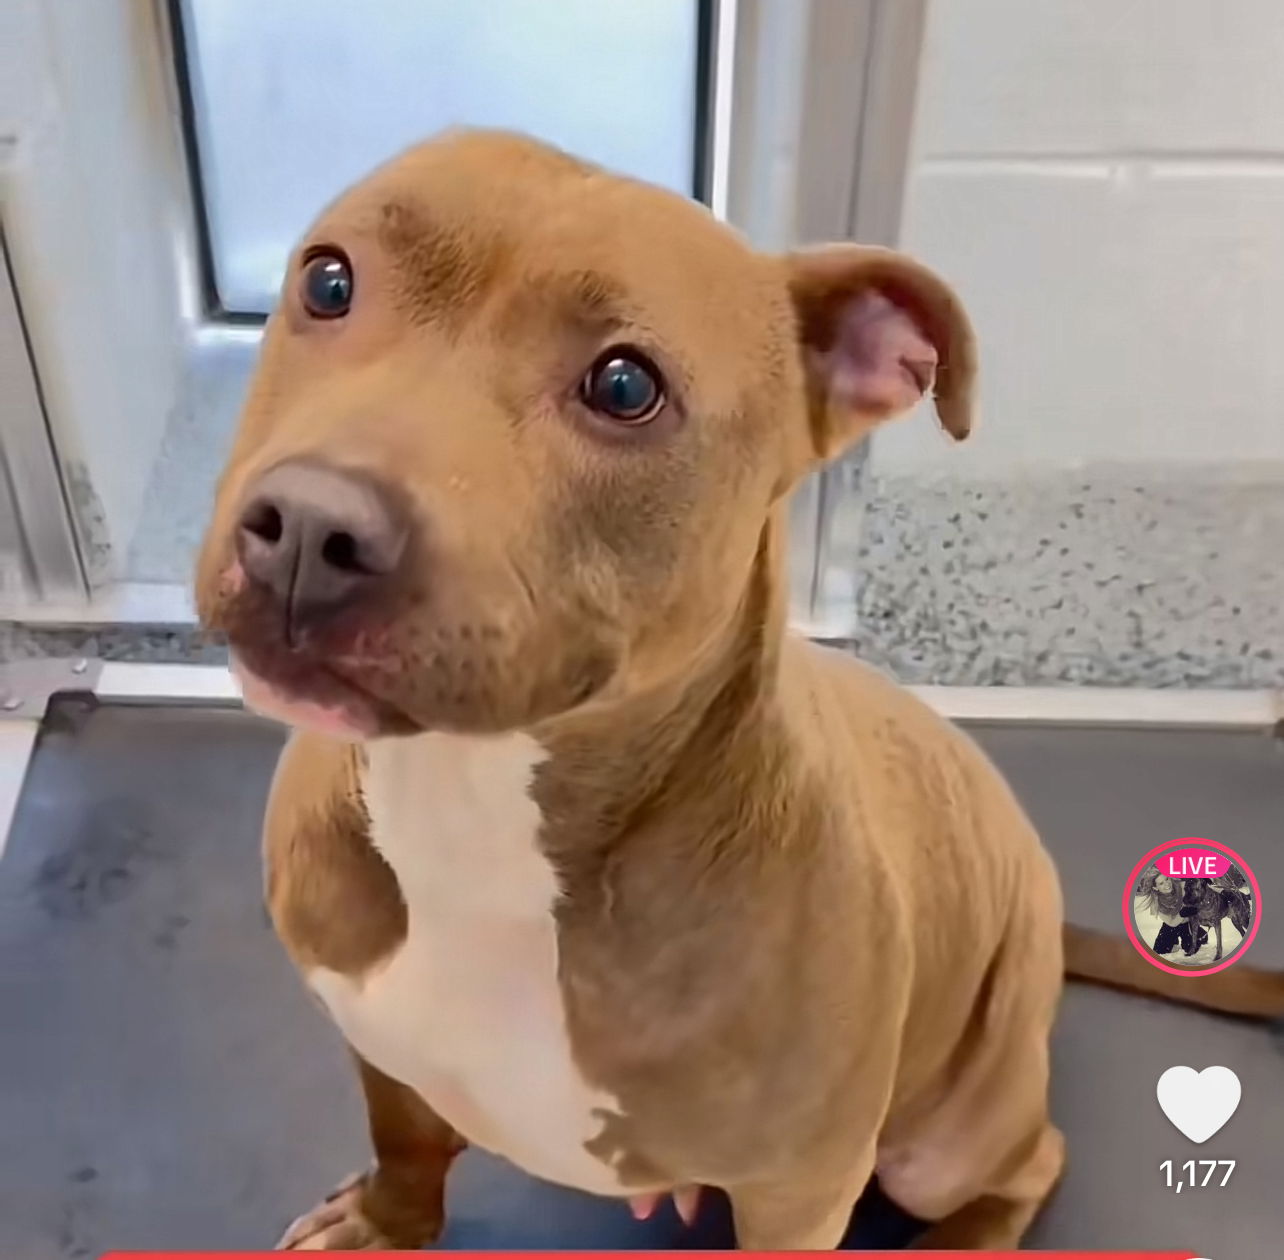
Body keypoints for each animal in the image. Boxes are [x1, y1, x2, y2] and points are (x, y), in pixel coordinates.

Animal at [195, 127, 1284, 1248]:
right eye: (328, 281)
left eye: (624, 387)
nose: (308, 531)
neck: (475, 817)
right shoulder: (376, 1040)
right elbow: (404, 1134)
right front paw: (386, 1223)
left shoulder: (800, 1192)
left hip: (947, 1137)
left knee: (1033, 1163)